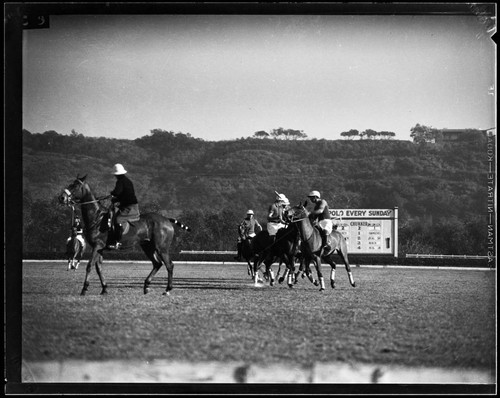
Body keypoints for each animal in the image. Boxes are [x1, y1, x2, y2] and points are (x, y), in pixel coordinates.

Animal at [58, 175, 190, 296]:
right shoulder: (100, 249)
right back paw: (146, 286)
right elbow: (99, 268)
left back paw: (167, 289)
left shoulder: (97, 246)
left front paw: (84, 289)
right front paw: (104, 289)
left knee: (169, 265)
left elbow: (90, 266)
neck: (96, 218)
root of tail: (166, 220)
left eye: (75, 185)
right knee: (157, 263)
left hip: (161, 248)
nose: (61, 198)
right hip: (147, 246)